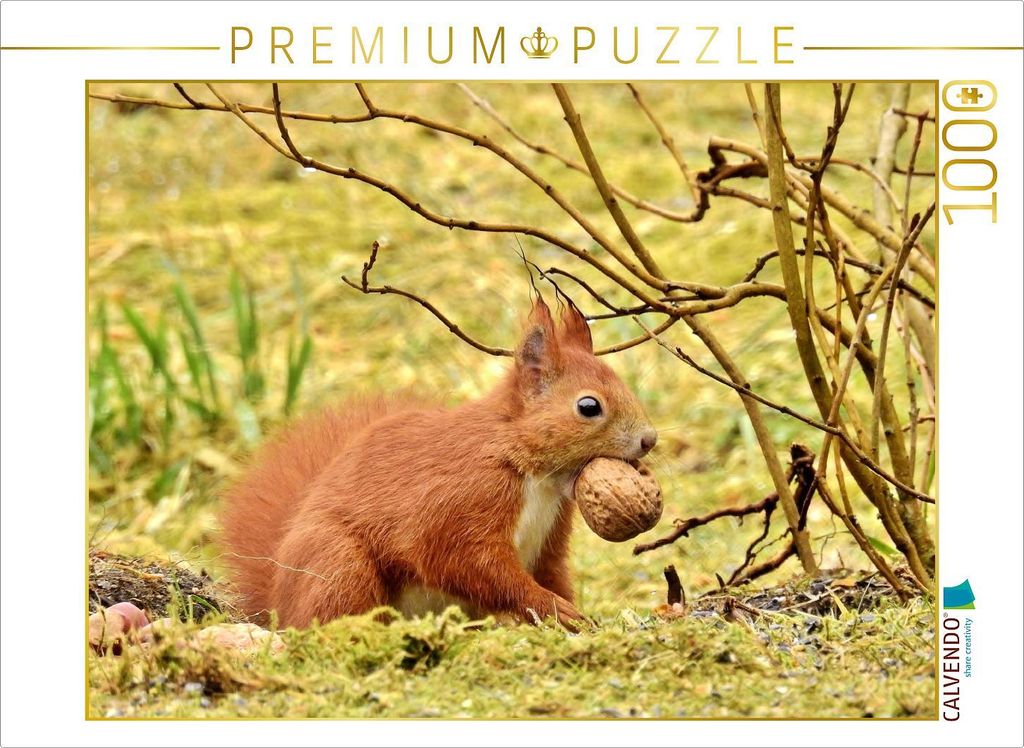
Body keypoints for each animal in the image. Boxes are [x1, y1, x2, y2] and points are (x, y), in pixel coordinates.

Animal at [220, 297, 657, 629]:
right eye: (589, 407)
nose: (649, 440)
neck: (536, 474)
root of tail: (279, 604)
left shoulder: (550, 537)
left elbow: (552, 573)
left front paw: (576, 615)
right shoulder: (462, 499)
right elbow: (465, 561)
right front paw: (550, 607)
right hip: (338, 563)